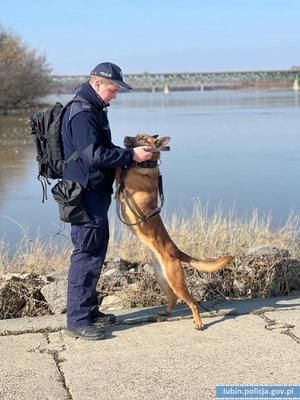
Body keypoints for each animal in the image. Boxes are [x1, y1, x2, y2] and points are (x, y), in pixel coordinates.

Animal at [116, 133, 233, 330]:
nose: (124, 138)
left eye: (142, 137)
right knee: (174, 299)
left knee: (192, 302)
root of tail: (177, 251)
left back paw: (198, 322)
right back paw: (166, 313)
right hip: (163, 279)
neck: (146, 166)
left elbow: (117, 170)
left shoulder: (124, 185)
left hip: (176, 281)